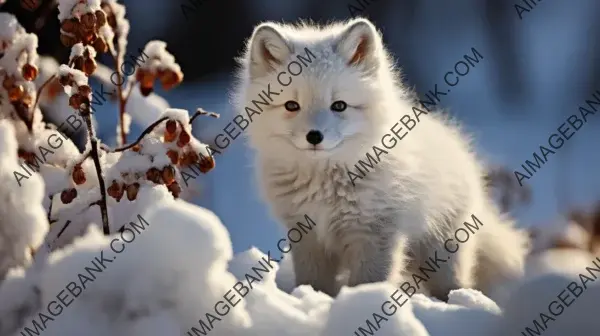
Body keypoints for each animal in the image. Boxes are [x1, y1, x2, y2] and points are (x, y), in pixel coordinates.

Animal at [232, 17, 528, 302]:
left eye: (339, 105)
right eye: (291, 106)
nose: (314, 136)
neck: (325, 186)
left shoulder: (375, 235)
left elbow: (369, 281)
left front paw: (366, 301)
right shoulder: (308, 237)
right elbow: (313, 283)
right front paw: (311, 299)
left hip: (441, 254)